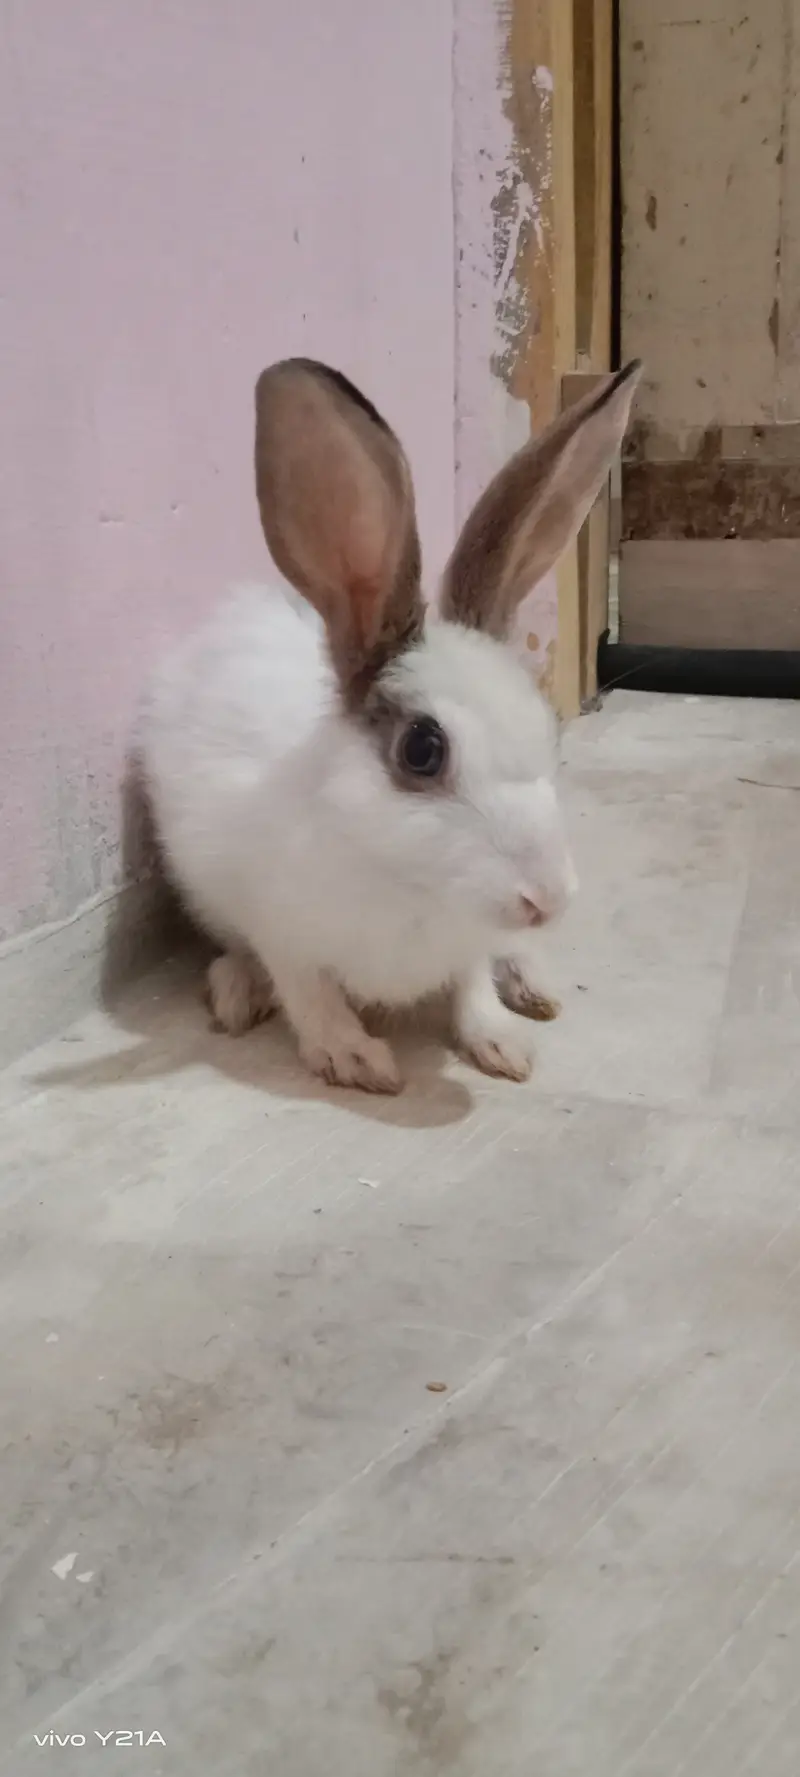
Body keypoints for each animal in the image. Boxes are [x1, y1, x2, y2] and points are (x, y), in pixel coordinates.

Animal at [141, 355, 641, 1093]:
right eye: (422, 750)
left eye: (549, 729)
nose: (548, 900)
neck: (412, 885)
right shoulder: (280, 927)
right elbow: (309, 992)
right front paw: (354, 1058)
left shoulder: (469, 942)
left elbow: (471, 983)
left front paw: (501, 1042)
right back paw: (237, 992)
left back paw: (533, 983)